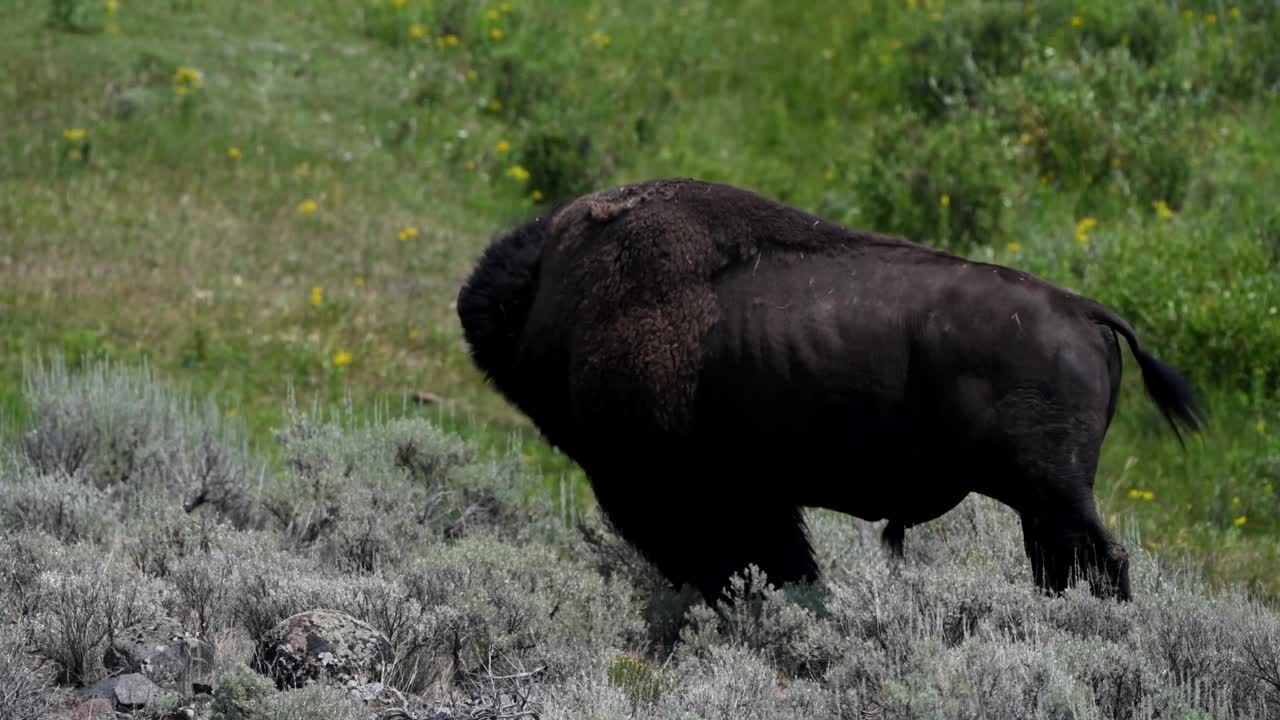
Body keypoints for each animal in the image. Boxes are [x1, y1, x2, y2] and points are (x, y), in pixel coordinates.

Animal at [455, 178, 1203, 599]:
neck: (552, 295)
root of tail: (1086, 312)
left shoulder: (679, 493)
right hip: (1043, 503)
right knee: (1065, 564)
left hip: (1052, 494)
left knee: (1099, 561)